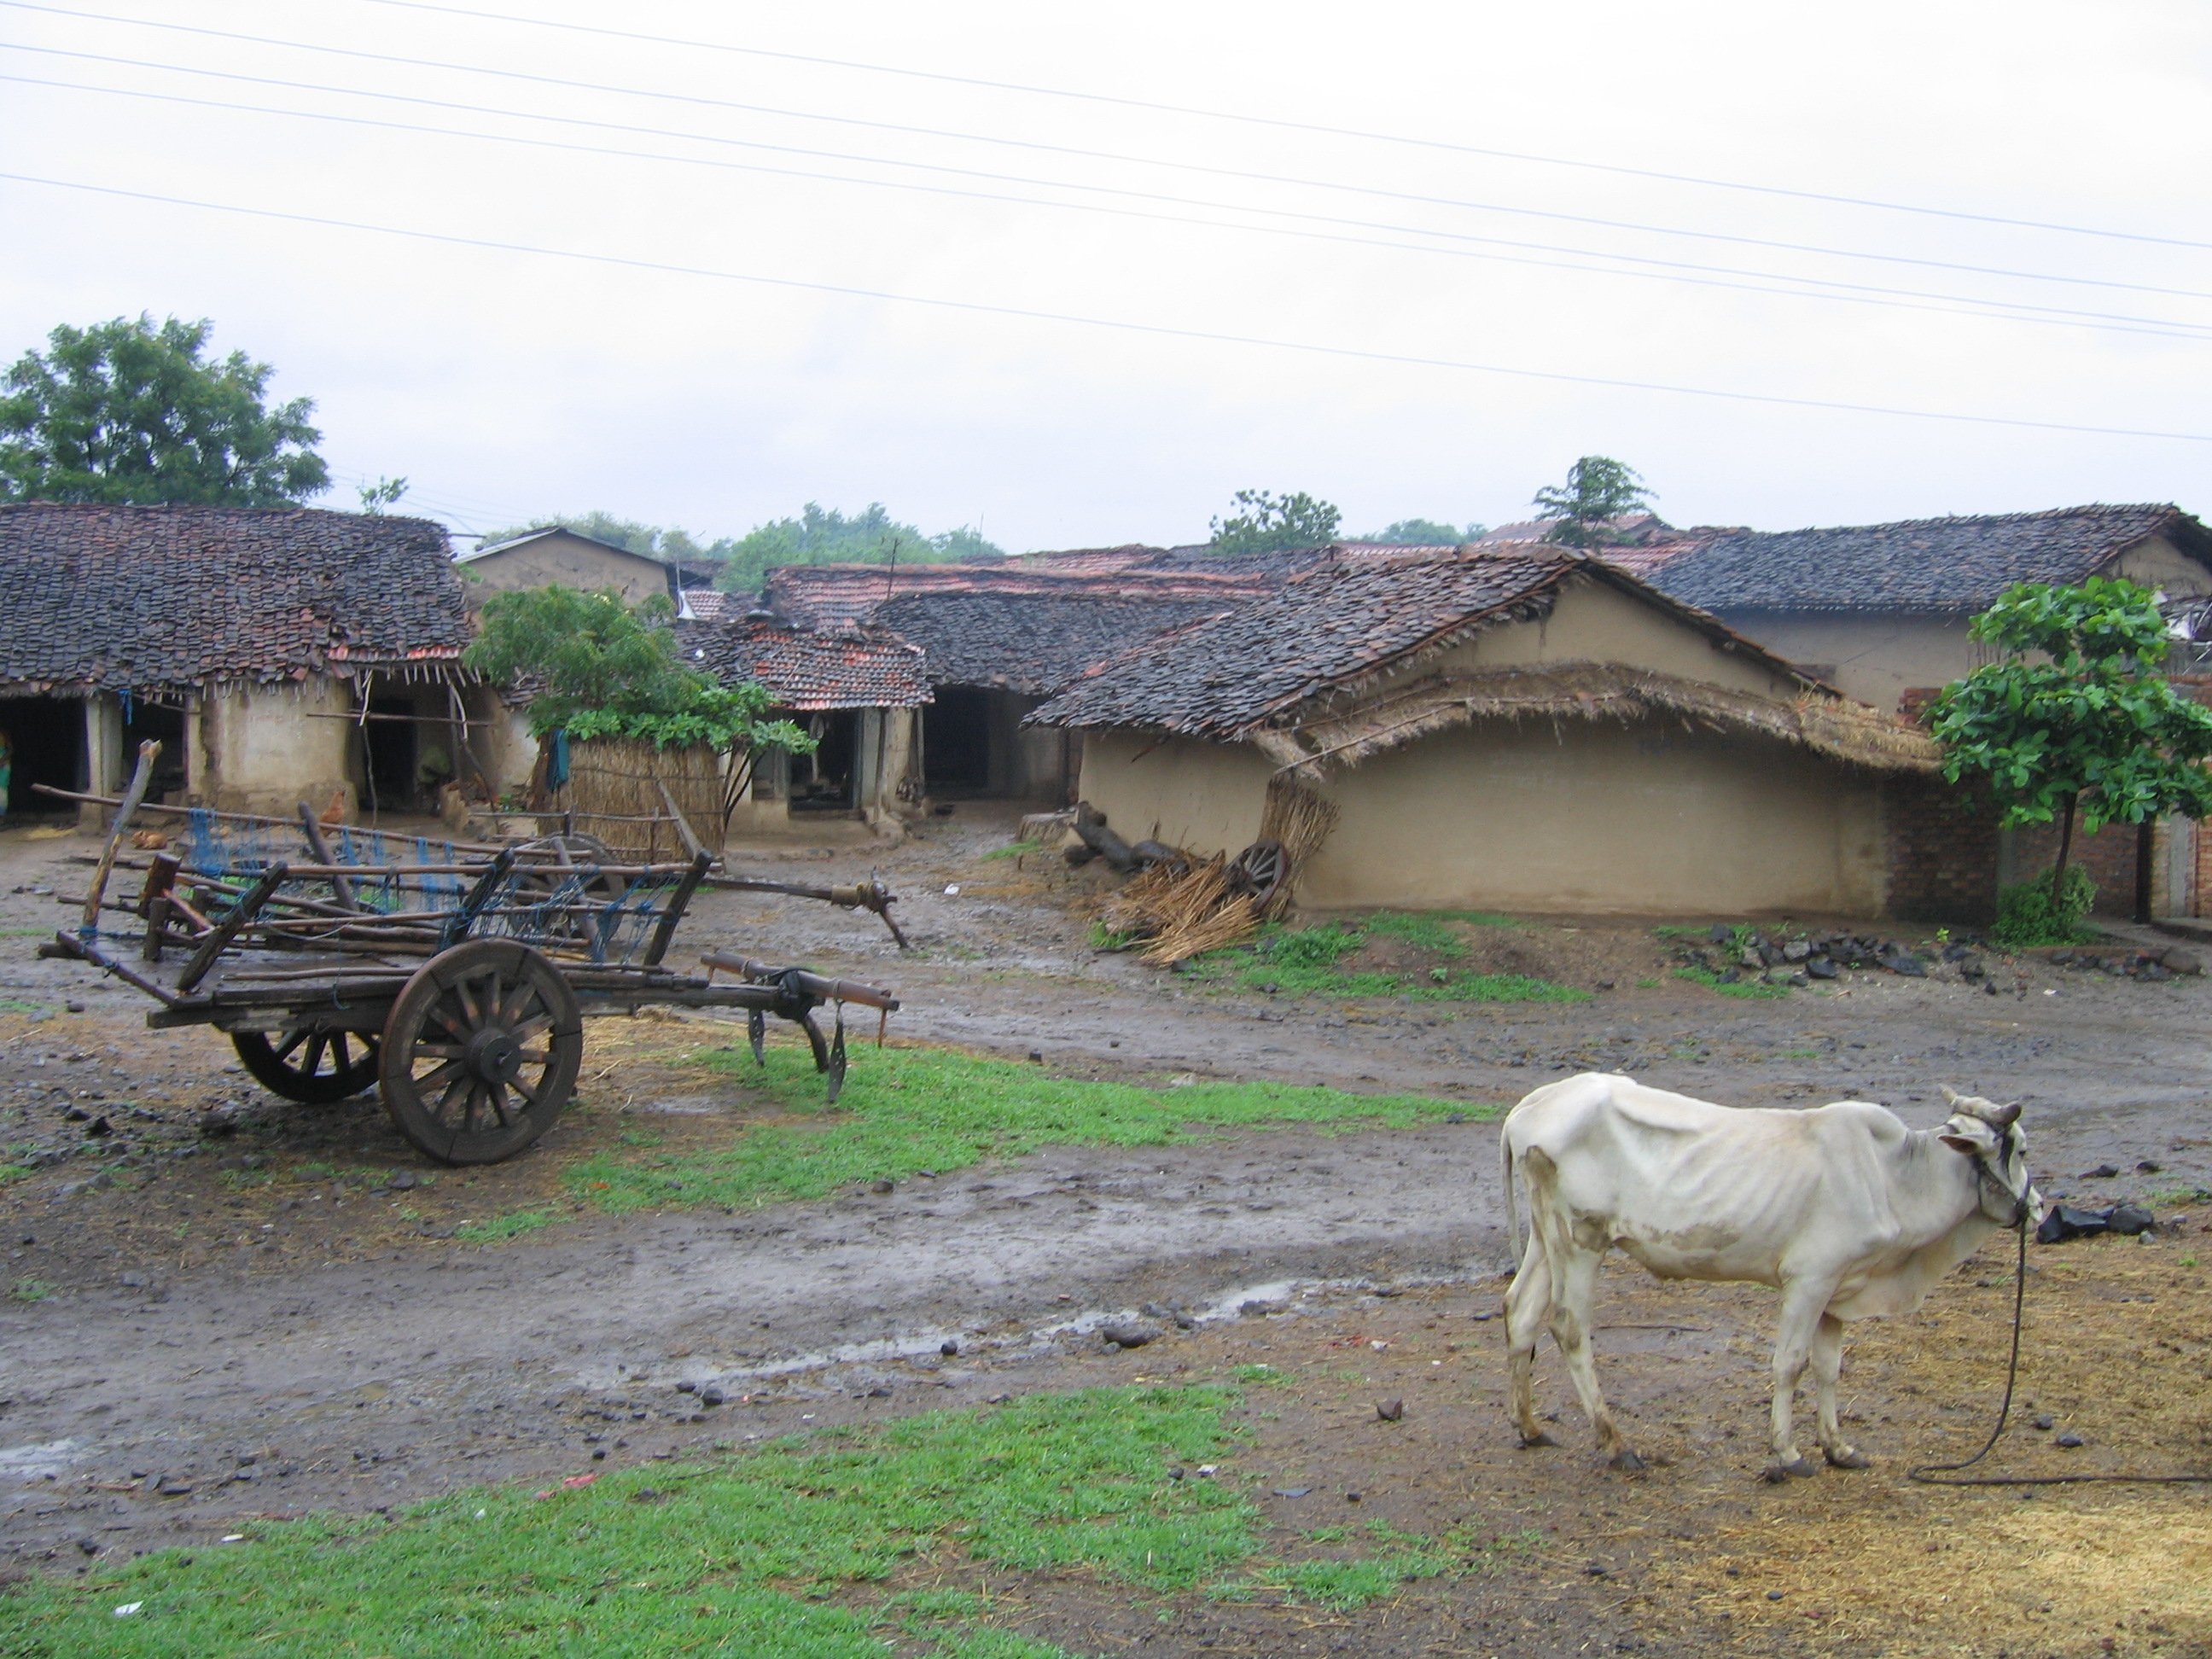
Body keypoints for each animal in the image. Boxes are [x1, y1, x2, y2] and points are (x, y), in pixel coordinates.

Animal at [1504, 1079, 2034, 1477]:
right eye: (2023, 1150)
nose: (2039, 1209)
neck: (1893, 1176)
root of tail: (1531, 1105)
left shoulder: (1839, 1288)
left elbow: (1828, 1368)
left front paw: (1837, 1447)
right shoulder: (1810, 1280)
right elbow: (1790, 1364)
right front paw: (1787, 1453)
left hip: (1546, 1238)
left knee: (1520, 1310)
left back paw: (1530, 1427)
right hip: (1580, 1241)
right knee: (1569, 1328)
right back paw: (1616, 1444)